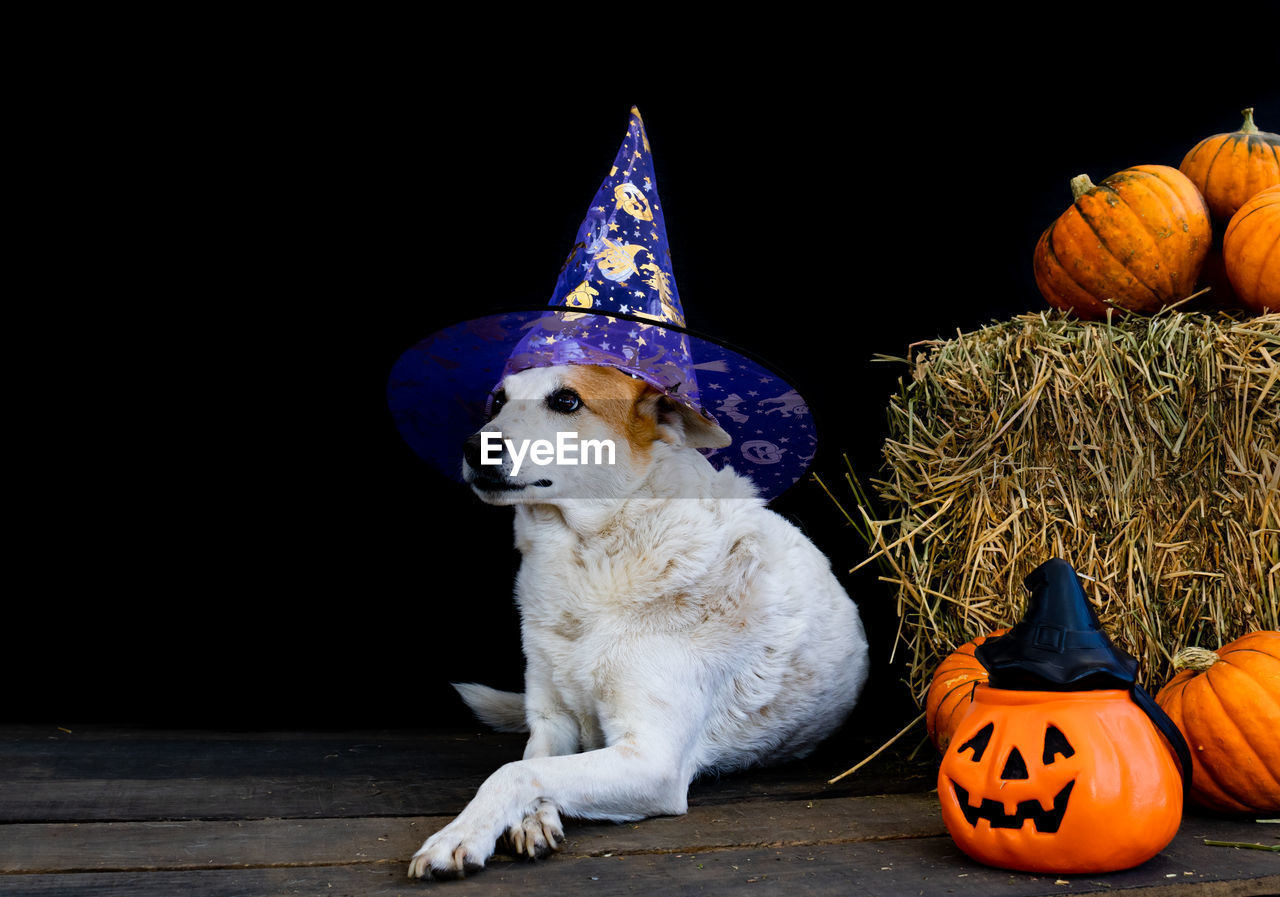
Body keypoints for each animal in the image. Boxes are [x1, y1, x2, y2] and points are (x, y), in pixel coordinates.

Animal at [409, 360, 870, 880]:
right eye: (497, 403)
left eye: (566, 401)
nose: (472, 447)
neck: (587, 560)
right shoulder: (552, 721)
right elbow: (533, 762)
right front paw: (532, 820)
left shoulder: (653, 760)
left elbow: (513, 772)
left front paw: (459, 835)